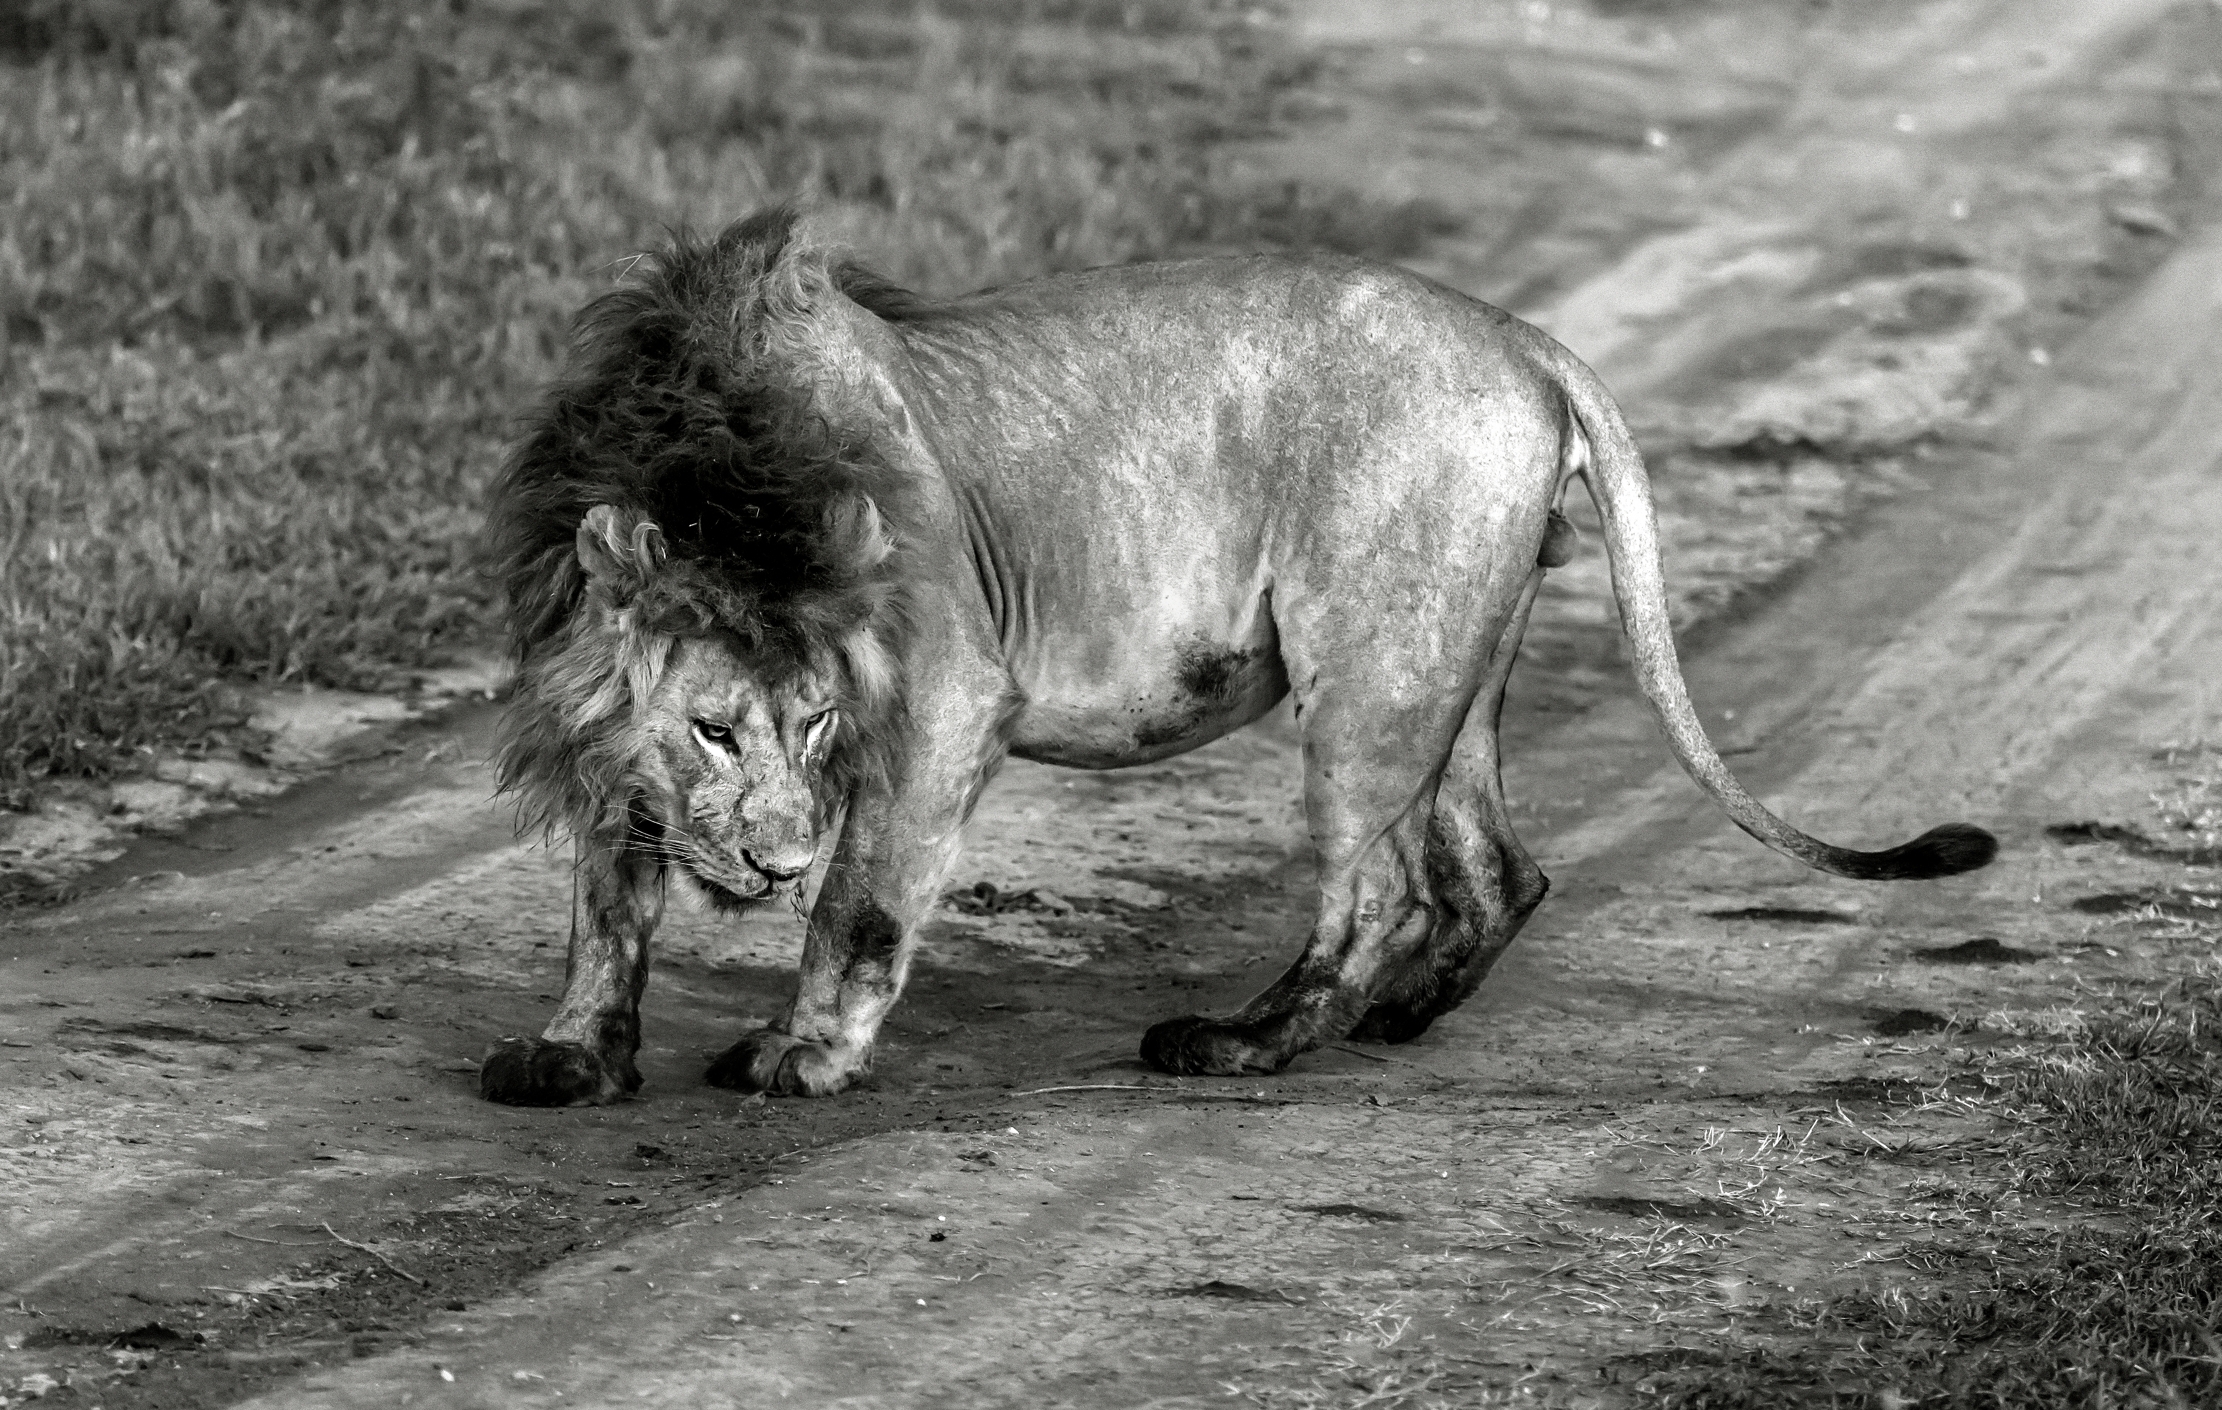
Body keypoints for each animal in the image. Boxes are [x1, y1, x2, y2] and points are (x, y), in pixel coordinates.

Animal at [478, 208, 1995, 1106]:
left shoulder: (945, 696)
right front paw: (571, 1053)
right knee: (1494, 871)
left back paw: (1239, 1041)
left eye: (810, 729)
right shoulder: (597, 719)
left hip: (1368, 671)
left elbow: (858, 905)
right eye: (714, 728)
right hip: (1452, 661)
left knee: (1378, 888)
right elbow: (607, 899)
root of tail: (1515, 332)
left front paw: (800, 1053)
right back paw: (1392, 1020)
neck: (717, 458)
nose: (770, 860)